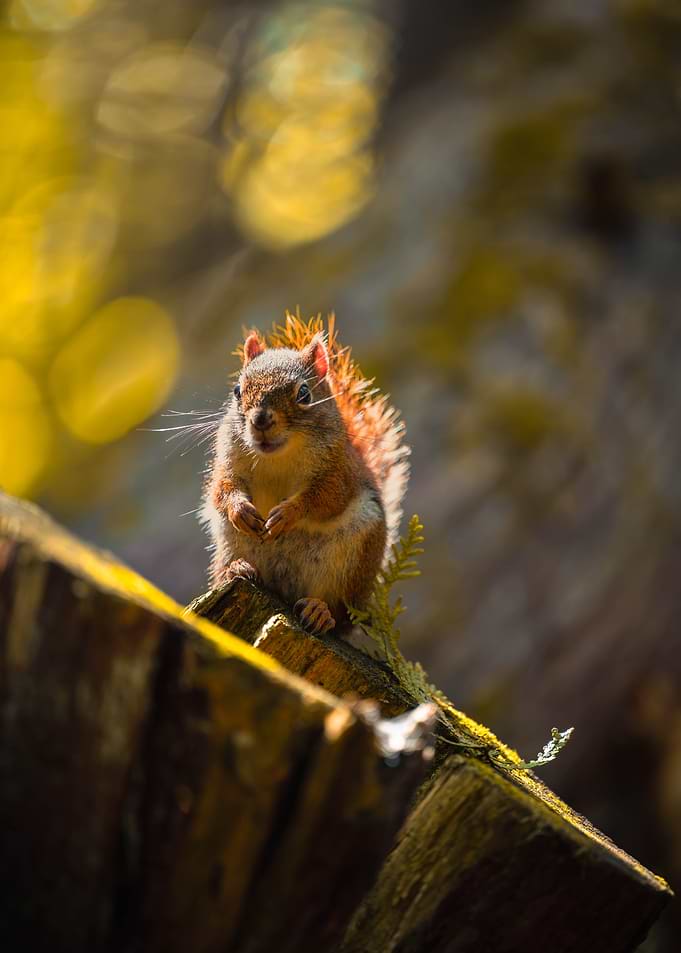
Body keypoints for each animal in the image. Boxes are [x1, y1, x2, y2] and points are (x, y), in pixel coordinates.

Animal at [200, 312, 409, 634]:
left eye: (304, 393)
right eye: (237, 391)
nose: (261, 420)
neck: (277, 456)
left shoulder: (340, 471)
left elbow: (327, 499)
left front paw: (289, 513)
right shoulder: (226, 461)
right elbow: (221, 489)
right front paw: (241, 510)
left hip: (351, 564)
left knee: (339, 614)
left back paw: (319, 612)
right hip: (230, 542)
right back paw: (237, 569)